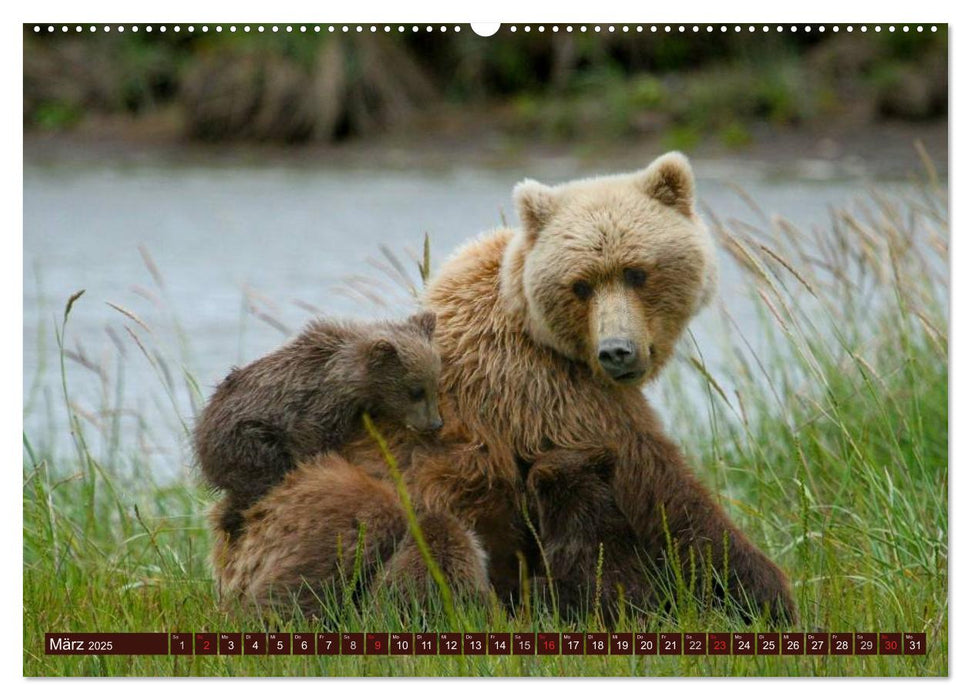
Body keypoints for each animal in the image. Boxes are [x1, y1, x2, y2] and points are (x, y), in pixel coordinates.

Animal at [195, 314, 444, 540]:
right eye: (416, 391)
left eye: (435, 384)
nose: (435, 424)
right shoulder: (316, 406)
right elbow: (311, 442)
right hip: (246, 438)